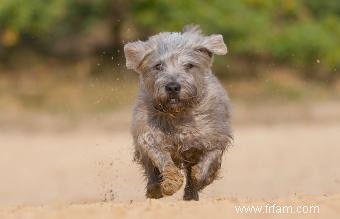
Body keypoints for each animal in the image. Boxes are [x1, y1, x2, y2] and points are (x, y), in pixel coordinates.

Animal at [123, 24, 232, 200]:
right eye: (158, 66)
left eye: (189, 65)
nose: (172, 87)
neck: (179, 114)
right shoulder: (149, 135)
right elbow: (162, 158)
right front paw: (170, 183)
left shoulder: (215, 137)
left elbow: (208, 161)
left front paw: (200, 177)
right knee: (150, 168)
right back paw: (154, 188)